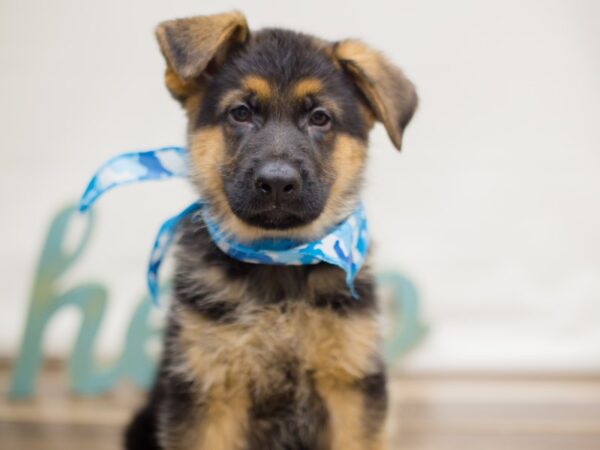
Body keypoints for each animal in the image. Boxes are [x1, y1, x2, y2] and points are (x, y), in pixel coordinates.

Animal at [125, 10, 418, 450]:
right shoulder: (209, 391)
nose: (277, 183)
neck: (278, 259)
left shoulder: (350, 384)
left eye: (320, 118)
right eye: (241, 113)